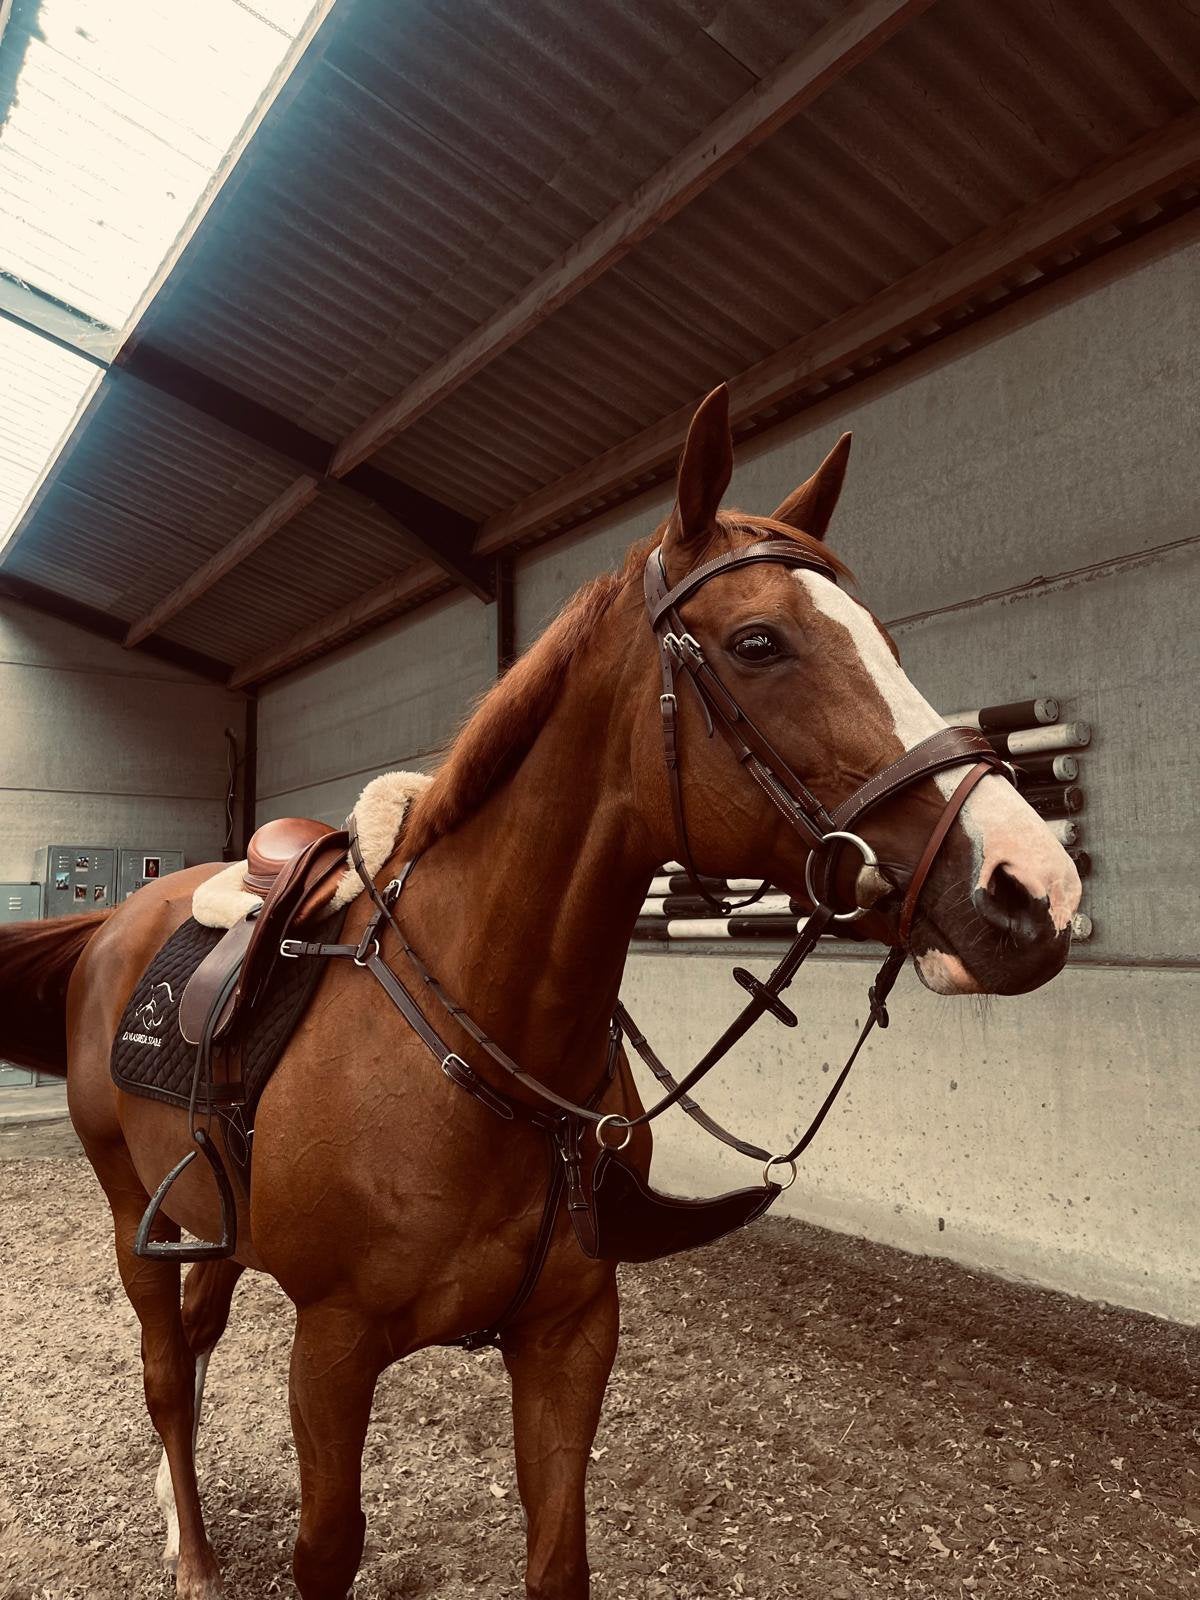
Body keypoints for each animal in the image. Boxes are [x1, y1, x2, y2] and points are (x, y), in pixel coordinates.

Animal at [0, 385, 1081, 1600]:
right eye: (760, 642)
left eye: (888, 644)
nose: (1032, 888)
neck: (482, 1037)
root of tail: (118, 922)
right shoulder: (331, 1348)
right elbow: (326, 1548)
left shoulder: (571, 1335)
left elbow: (559, 1554)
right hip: (124, 1209)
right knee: (163, 1372)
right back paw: (189, 1552)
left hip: (211, 1232)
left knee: (190, 1345)